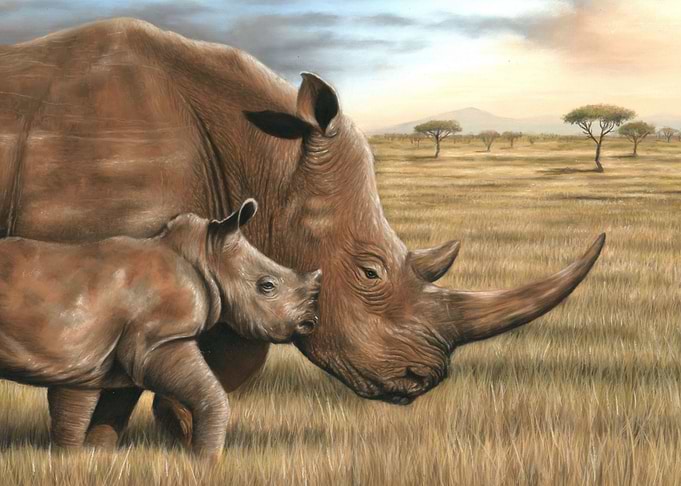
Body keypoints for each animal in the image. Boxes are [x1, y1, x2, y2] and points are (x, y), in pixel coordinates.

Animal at [0, 199, 321, 456]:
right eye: (267, 286)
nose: (310, 322)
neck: (204, 255)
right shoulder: (160, 340)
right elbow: (211, 395)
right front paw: (205, 463)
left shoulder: (92, 361)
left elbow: (86, 416)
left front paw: (83, 460)